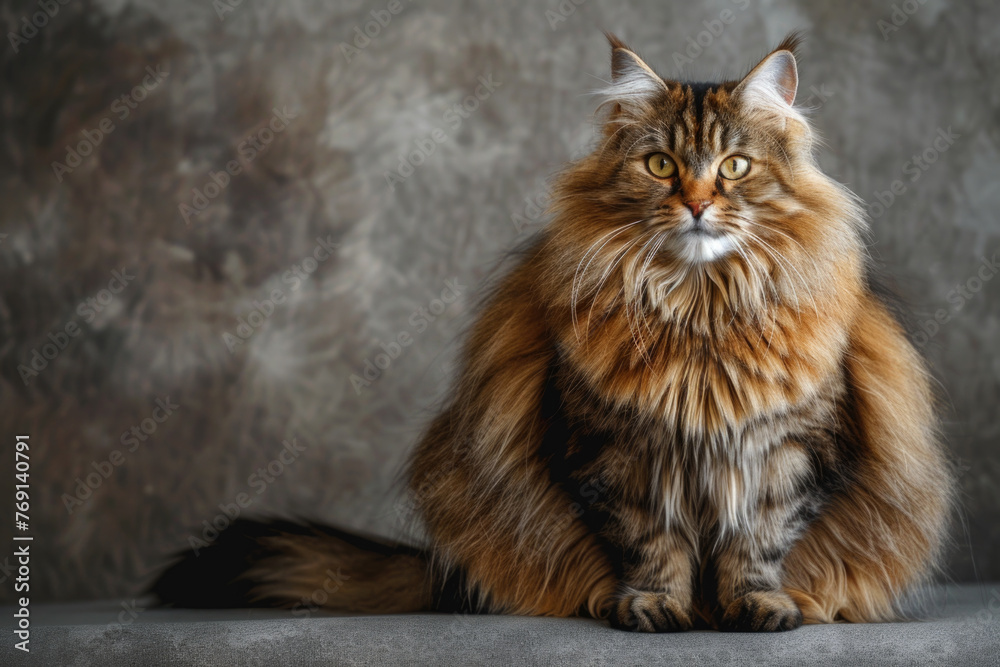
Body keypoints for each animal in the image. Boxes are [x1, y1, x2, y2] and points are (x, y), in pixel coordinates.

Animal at [154, 34, 952, 636]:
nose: (697, 204)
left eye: (733, 167)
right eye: (661, 164)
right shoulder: (611, 450)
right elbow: (649, 544)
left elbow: (757, 542)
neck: (698, 311)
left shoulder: (792, 449)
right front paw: (656, 606)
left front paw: (755, 606)